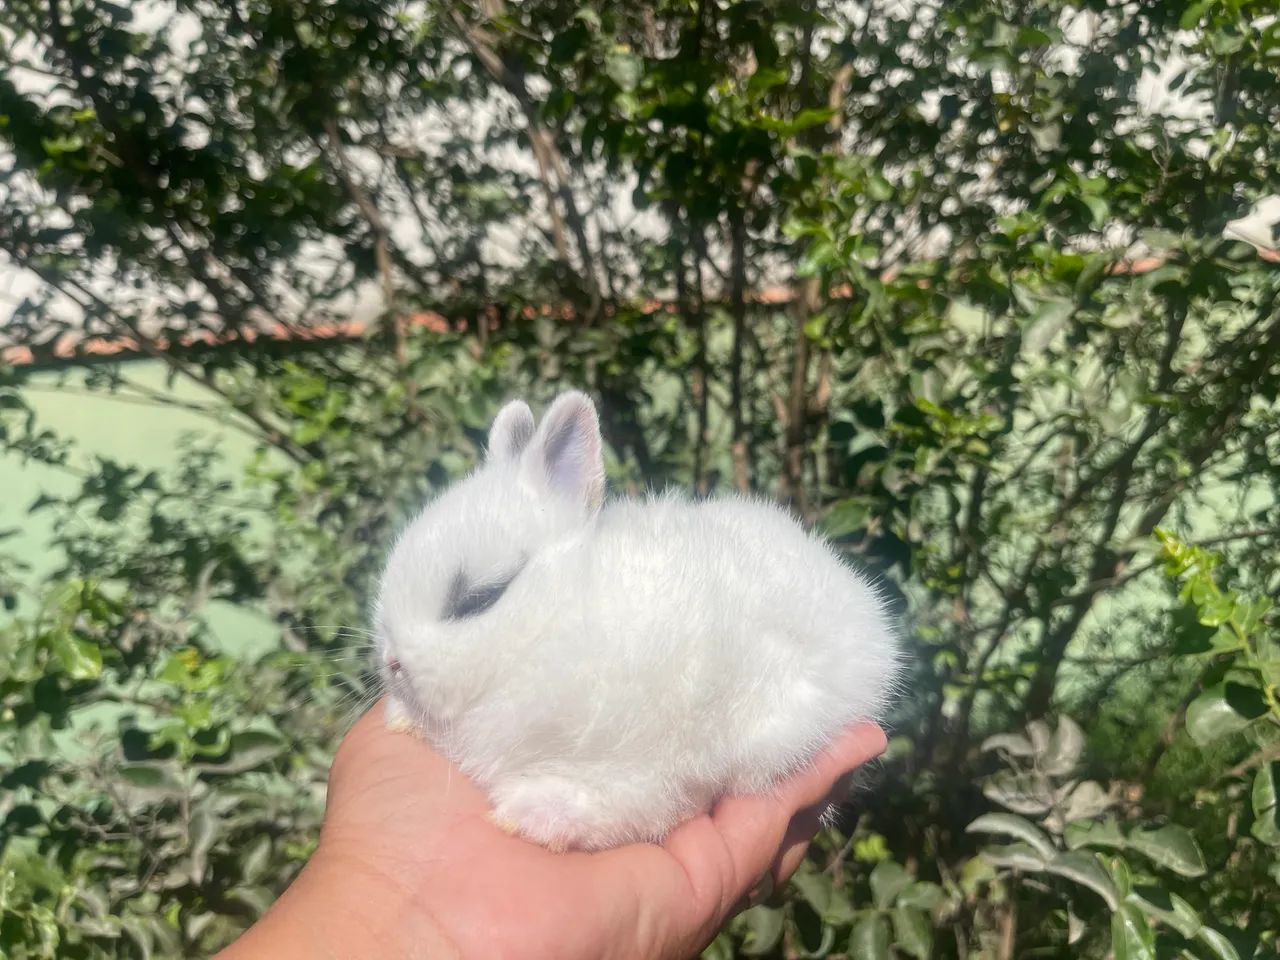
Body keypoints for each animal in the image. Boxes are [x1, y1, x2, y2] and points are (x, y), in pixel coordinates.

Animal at [372, 390, 901, 852]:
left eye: (480, 598)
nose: (393, 663)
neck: (554, 624)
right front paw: (404, 719)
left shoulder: (655, 763)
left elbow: (623, 804)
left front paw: (535, 816)